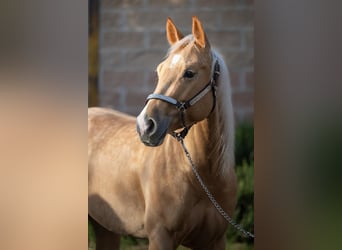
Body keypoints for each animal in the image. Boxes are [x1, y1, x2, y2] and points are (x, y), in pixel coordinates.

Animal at [88, 16, 238, 249]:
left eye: (189, 73)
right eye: (159, 71)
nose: (145, 126)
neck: (203, 178)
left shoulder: (215, 240)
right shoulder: (160, 236)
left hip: (106, 227)